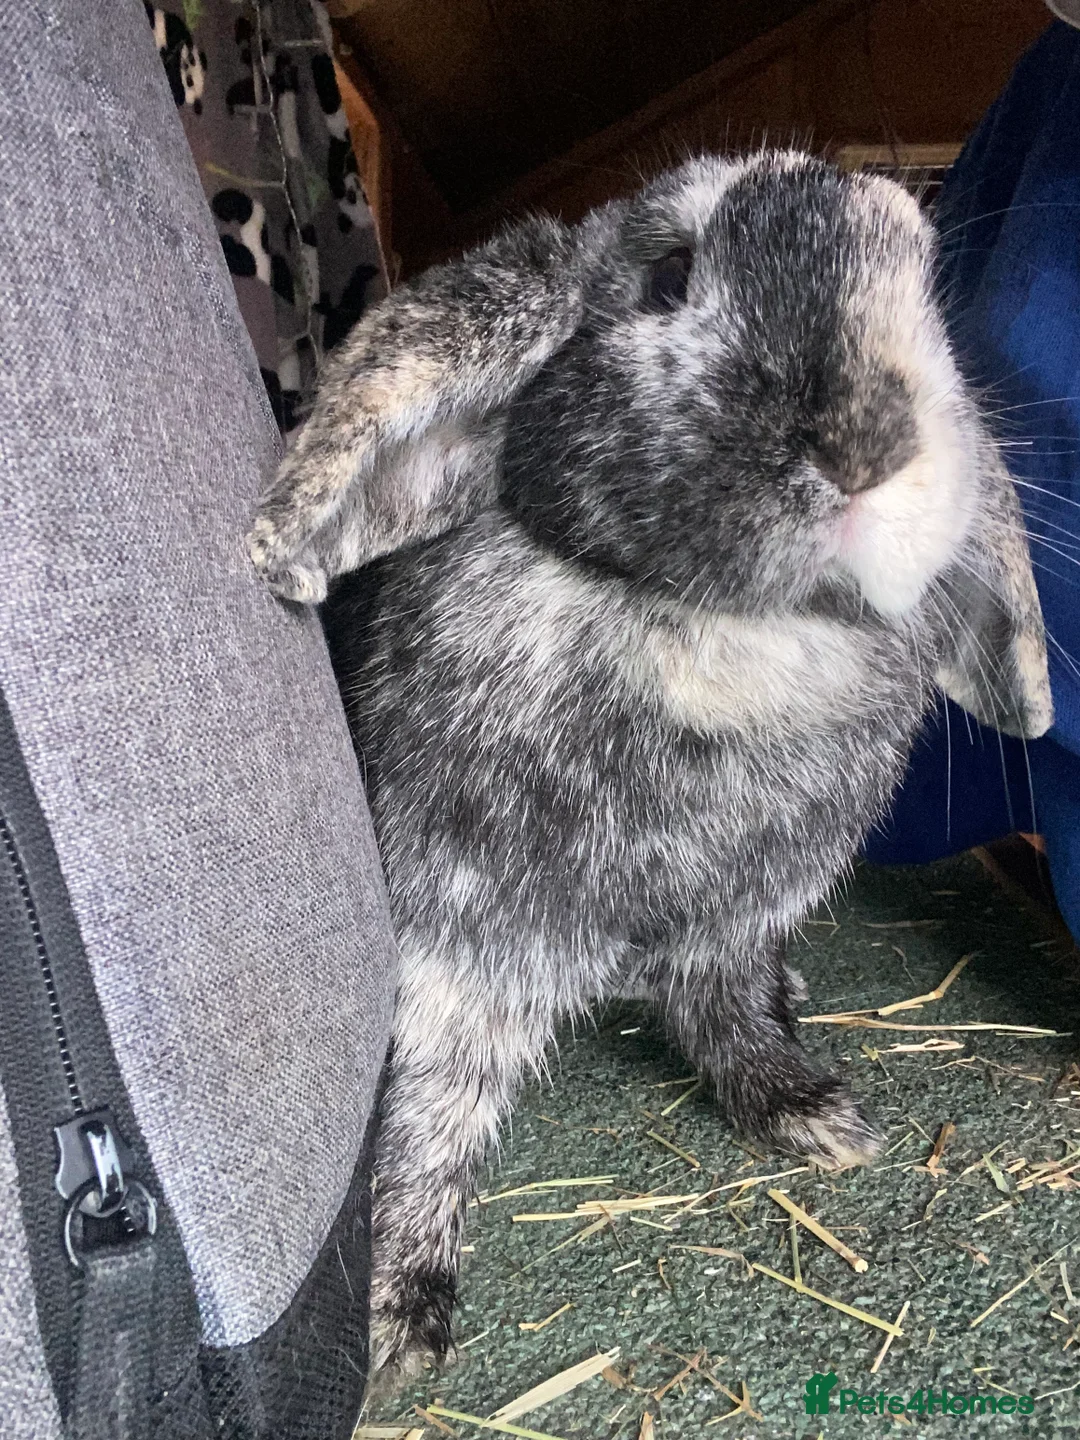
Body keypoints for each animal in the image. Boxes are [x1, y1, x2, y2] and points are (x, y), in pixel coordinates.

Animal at [247, 151, 1052, 1381]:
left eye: (925, 295)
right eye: (669, 276)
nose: (867, 448)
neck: (726, 643)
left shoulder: (739, 918)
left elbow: (729, 1011)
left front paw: (812, 1116)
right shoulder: (463, 939)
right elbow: (436, 1106)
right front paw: (399, 1319)